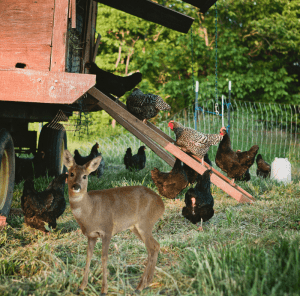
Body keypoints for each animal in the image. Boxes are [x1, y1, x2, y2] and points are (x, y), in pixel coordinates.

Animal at [62, 151, 165, 294]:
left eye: (85, 176)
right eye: (71, 173)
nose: (76, 186)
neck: (91, 210)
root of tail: (162, 204)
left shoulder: (107, 230)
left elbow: (104, 257)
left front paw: (103, 290)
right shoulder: (91, 235)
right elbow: (88, 256)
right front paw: (81, 287)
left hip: (145, 223)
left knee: (151, 248)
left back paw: (139, 287)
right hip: (136, 227)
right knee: (156, 245)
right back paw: (148, 283)